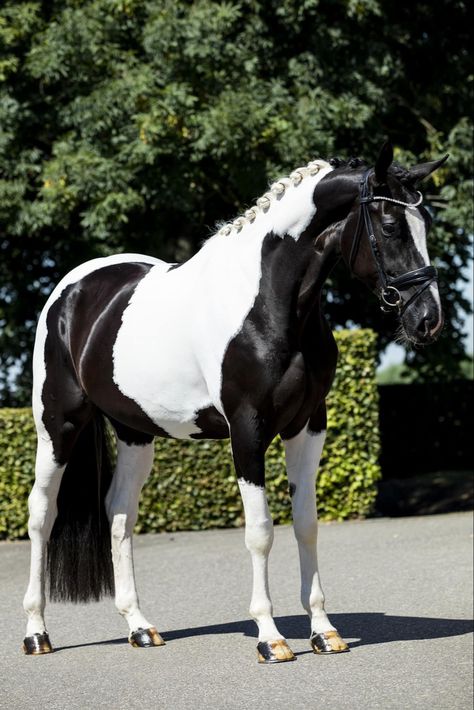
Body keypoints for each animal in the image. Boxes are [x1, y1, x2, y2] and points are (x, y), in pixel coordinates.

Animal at [22, 142, 446, 664]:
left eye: (425, 222)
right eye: (389, 225)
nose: (428, 319)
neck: (266, 302)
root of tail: (71, 291)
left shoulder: (308, 425)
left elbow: (307, 524)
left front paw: (324, 632)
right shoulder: (248, 430)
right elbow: (261, 531)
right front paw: (270, 637)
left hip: (135, 432)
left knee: (119, 515)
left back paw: (140, 626)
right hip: (58, 425)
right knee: (42, 515)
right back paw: (37, 633)